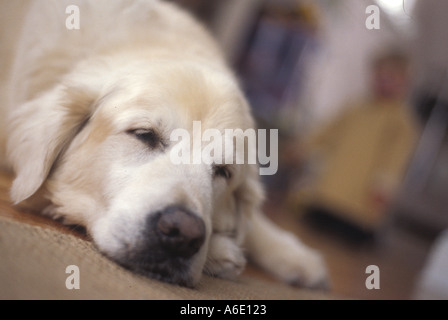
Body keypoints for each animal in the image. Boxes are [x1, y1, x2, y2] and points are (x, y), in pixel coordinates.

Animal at [0, 0, 328, 288]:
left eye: (223, 171)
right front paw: (221, 252)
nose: (183, 234)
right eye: (144, 135)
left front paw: (295, 255)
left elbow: (255, 223)